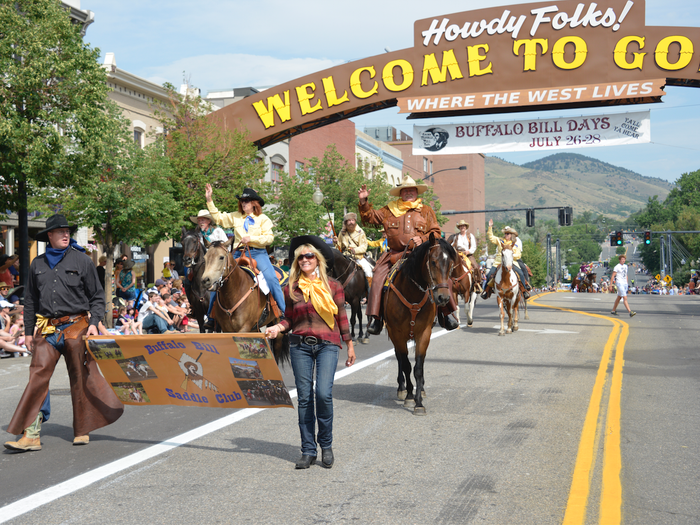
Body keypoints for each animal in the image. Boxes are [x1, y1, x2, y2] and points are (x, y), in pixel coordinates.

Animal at [382, 233, 460, 414]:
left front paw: (419, 402)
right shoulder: (397, 333)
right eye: (433, 262)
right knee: (399, 358)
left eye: (451, 264)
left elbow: (418, 367)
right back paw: (402, 388)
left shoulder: (424, 333)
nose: (443, 298)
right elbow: (406, 365)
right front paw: (410, 396)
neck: (412, 295)